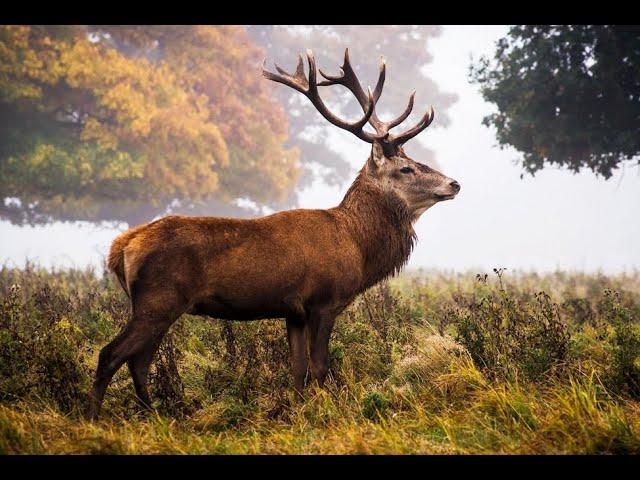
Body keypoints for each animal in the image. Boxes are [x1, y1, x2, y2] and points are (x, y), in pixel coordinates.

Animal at [89, 48, 460, 420]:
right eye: (406, 168)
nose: (454, 183)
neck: (357, 245)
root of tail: (122, 246)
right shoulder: (324, 301)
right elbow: (320, 366)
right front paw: (321, 413)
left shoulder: (293, 311)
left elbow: (297, 369)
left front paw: (296, 412)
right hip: (158, 299)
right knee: (111, 354)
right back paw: (94, 417)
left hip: (157, 305)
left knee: (139, 361)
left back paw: (155, 414)